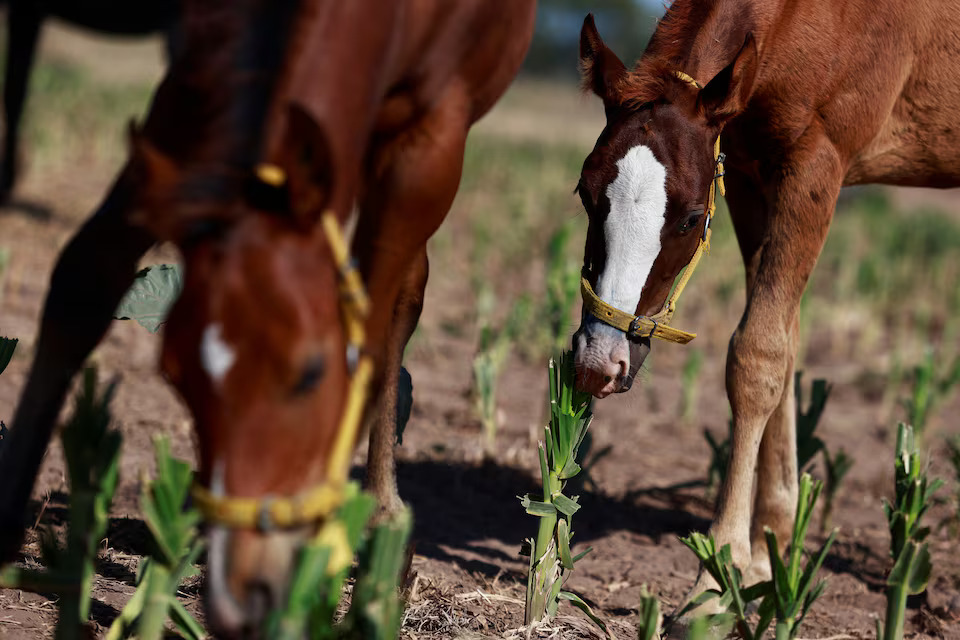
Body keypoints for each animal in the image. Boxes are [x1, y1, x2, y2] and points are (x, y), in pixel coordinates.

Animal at [568, 0, 960, 620]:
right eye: (585, 192)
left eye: (688, 218)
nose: (597, 362)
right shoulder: (750, 176)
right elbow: (783, 343)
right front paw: (768, 553)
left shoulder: (817, 166)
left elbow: (757, 357)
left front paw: (716, 578)